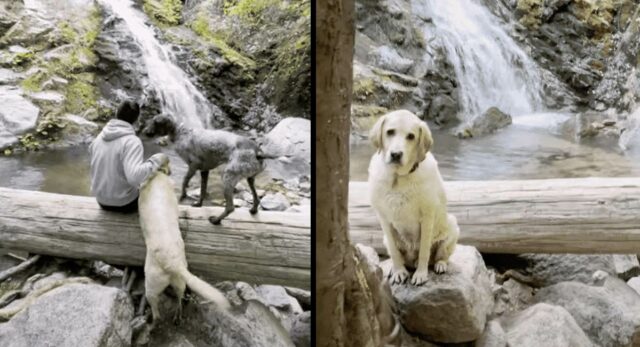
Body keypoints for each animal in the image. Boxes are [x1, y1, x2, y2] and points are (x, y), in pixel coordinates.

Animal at [139, 160, 231, 324]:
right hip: (180, 281)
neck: (158, 176)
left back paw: (153, 319)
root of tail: (173, 264)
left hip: (151, 285)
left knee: (156, 310)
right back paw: (177, 315)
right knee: (180, 298)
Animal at [145, 115, 284, 226]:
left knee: (230, 207)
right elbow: (202, 190)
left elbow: (185, 182)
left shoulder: (193, 166)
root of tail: (258, 152)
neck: (181, 133)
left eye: (155, 122)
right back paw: (253, 210)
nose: (145, 131)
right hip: (250, 178)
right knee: (256, 199)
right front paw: (198, 204)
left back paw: (216, 220)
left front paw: (183, 196)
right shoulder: (204, 170)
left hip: (228, 178)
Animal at [368, 110, 458, 286]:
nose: (396, 154)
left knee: (440, 255)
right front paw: (398, 271)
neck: (398, 178)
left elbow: (424, 250)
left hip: (452, 225)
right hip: (385, 238)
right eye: (390, 132)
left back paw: (439, 265)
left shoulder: (427, 216)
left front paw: (421, 274)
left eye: (411, 136)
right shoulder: (383, 218)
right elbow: (394, 252)